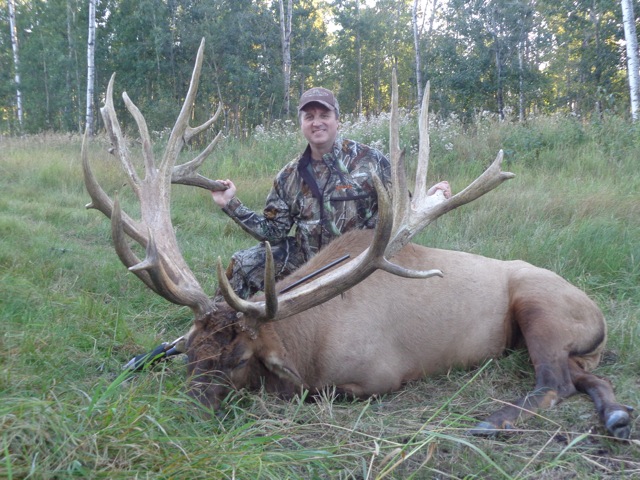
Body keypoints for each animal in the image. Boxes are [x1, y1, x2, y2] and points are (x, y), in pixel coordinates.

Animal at [83, 39, 632, 439]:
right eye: (191, 350)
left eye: (237, 358)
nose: (187, 414)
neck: (306, 343)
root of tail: (600, 315)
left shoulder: (375, 376)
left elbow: (318, 392)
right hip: (568, 344)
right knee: (587, 376)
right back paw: (615, 414)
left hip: (542, 306)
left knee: (554, 381)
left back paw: (494, 422)